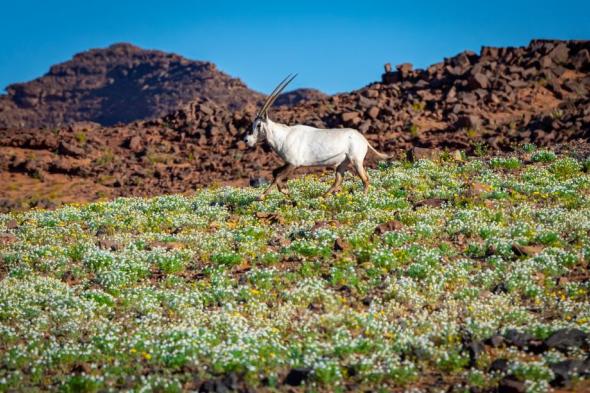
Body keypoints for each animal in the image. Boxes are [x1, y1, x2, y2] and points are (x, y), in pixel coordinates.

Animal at [245, 74, 394, 199]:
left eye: (258, 125)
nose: (247, 140)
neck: (283, 135)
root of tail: (363, 139)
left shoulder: (294, 163)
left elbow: (278, 176)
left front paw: (261, 196)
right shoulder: (288, 162)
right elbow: (275, 173)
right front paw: (285, 191)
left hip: (356, 160)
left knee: (365, 179)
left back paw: (363, 197)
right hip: (343, 163)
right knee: (339, 179)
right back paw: (323, 196)